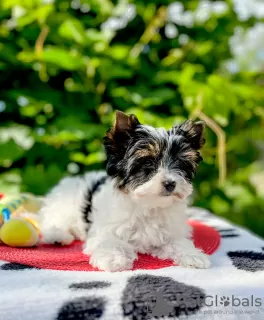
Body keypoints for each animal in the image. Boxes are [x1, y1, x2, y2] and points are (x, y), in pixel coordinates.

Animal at [39, 111, 210, 272]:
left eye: (180, 164)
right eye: (148, 162)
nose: (170, 183)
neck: (148, 205)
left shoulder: (171, 232)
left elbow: (178, 242)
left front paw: (193, 255)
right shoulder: (105, 230)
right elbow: (110, 241)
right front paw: (114, 258)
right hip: (65, 205)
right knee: (54, 219)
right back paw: (57, 235)